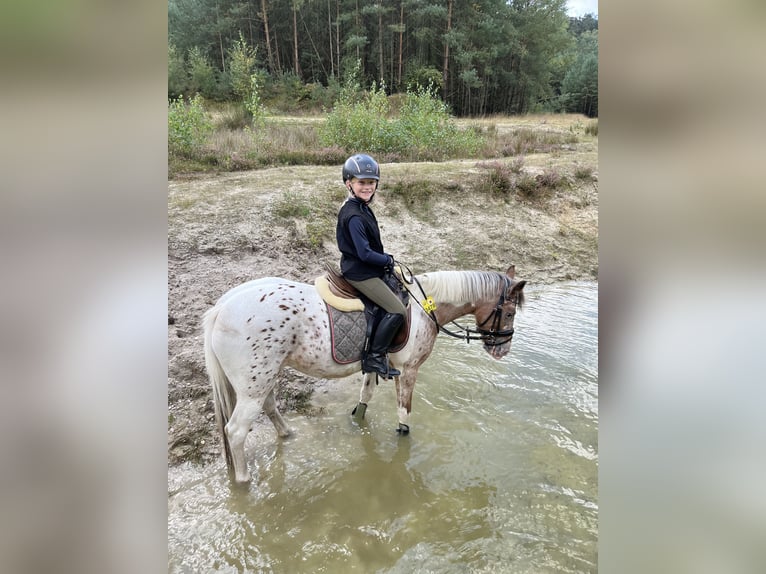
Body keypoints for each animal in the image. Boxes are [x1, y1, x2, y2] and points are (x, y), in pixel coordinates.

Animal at [203, 265, 527, 484]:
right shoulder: (409, 370)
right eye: (510, 313)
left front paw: (358, 421)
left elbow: (365, 396)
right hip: (253, 386)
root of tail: (222, 307)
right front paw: (403, 442)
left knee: (269, 406)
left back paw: (286, 434)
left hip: (263, 380)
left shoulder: (374, 364)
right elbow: (404, 412)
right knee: (236, 431)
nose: (503, 351)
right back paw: (243, 481)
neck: (426, 308)